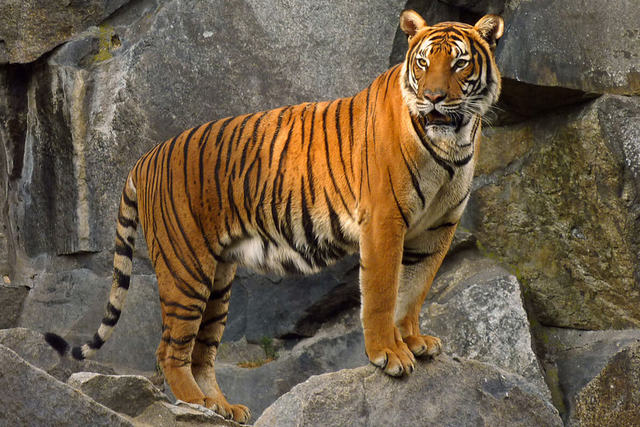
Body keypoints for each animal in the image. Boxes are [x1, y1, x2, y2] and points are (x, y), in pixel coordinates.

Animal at [45, 10, 503, 423]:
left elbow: (413, 291)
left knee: (201, 353)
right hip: (185, 268)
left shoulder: (436, 228)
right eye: (423, 63)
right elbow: (381, 294)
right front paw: (388, 355)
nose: (434, 97)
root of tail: (145, 157)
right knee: (169, 350)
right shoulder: (384, 221)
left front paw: (413, 341)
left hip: (218, 280)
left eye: (459, 63)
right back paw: (198, 404)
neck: (453, 141)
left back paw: (223, 407)